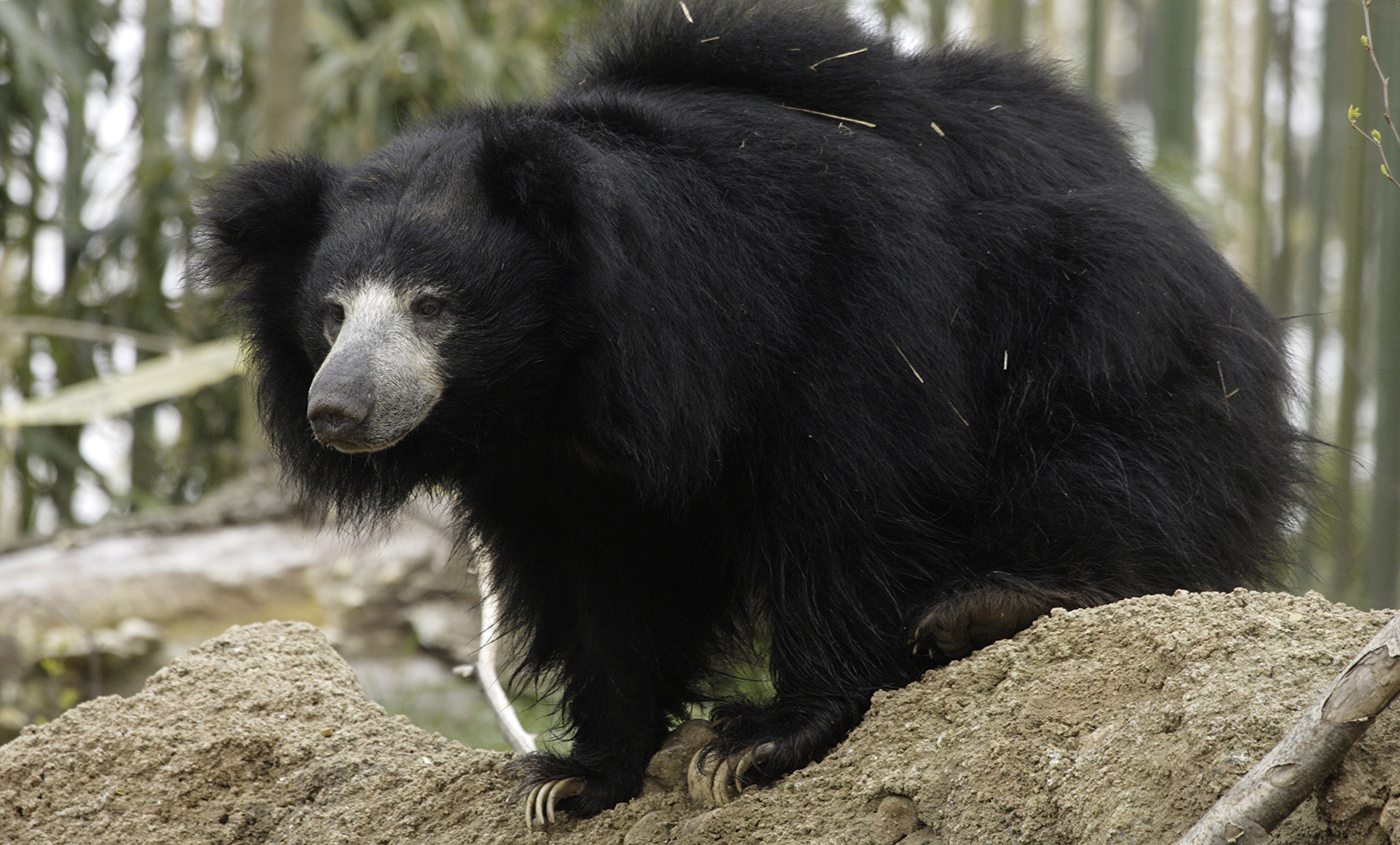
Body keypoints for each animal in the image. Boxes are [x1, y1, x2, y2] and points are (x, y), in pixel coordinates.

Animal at [203, 0, 1304, 833]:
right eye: (330, 312)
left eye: (433, 304)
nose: (337, 408)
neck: (565, 373)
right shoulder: (556, 468)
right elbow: (601, 587)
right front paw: (575, 776)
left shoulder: (838, 300)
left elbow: (847, 496)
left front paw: (757, 741)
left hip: (1110, 328)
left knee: (1114, 469)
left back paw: (998, 600)